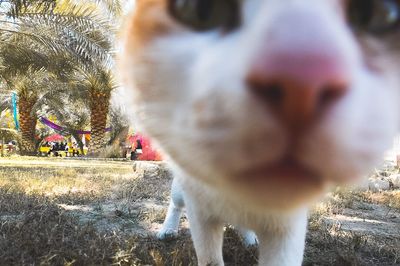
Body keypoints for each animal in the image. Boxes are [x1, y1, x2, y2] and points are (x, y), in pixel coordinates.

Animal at [120, 1, 400, 264]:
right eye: (200, 9)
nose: (300, 81)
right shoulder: (201, 214)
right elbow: (210, 258)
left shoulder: (288, 228)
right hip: (183, 188)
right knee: (175, 204)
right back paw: (168, 229)